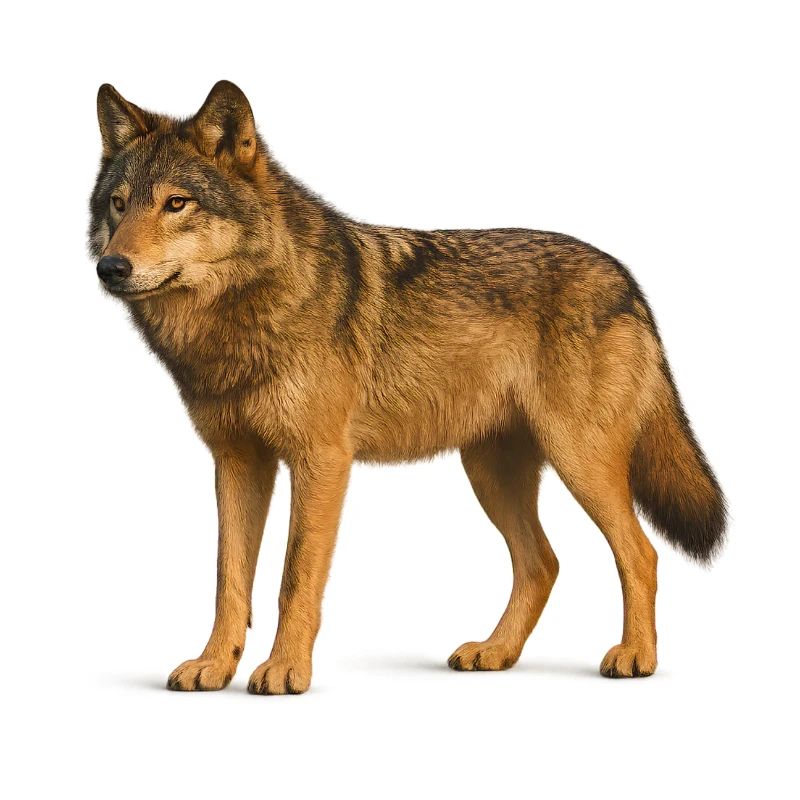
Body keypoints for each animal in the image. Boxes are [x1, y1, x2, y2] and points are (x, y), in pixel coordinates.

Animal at [90, 81, 726, 693]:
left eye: (176, 203)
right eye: (118, 205)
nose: (111, 267)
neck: (240, 317)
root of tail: (627, 280)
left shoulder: (322, 461)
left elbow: (294, 579)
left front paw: (286, 670)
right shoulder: (238, 461)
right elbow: (229, 580)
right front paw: (213, 666)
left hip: (579, 461)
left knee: (640, 553)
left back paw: (635, 656)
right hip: (491, 473)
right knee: (542, 563)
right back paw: (495, 652)